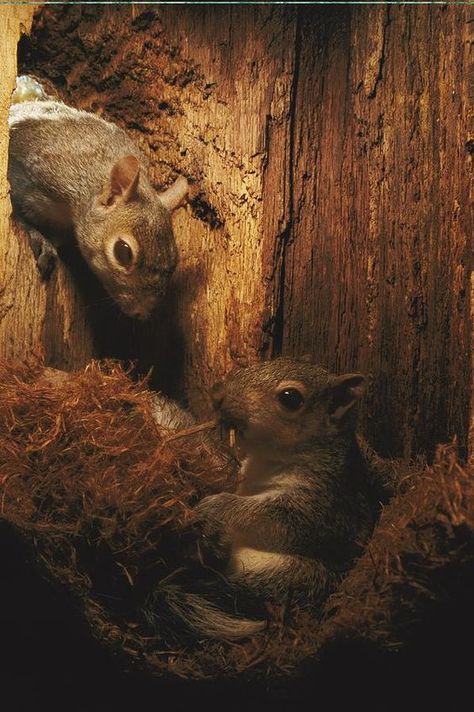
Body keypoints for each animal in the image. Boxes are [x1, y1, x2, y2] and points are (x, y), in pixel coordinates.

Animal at [7, 76, 189, 318]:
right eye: (123, 252)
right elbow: (18, 211)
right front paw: (39, 238)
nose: (142, 313)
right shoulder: (34, 175)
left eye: (174, 259)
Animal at [145, 358, 378, 644]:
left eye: (290, 397)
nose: (217, 393)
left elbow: (268, 516)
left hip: (281, 576)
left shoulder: (323, 507)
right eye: (261, 363)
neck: (266, 459)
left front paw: (213, 507)